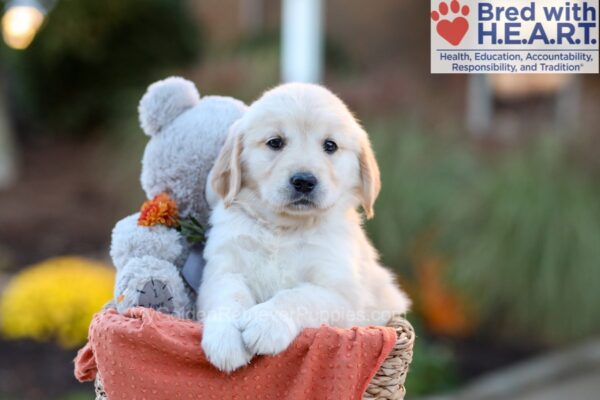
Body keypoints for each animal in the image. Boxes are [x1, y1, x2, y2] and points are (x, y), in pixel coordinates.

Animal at [199, 83, 410, 374]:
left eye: (330, 145)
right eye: (275, 142)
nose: (304, 181)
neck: (284, 228)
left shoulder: (341, 294)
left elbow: (298, 296)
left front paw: (266, 321)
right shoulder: (223, 269)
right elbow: (228, 296)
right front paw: (224, 339)